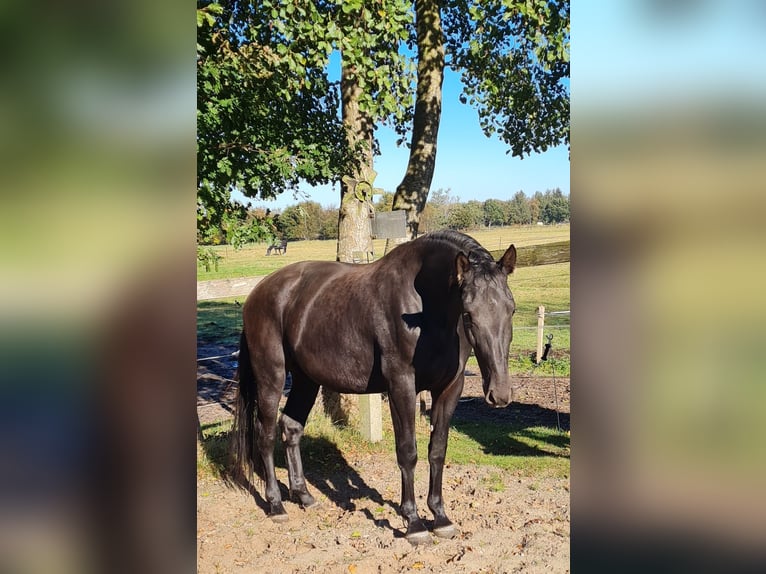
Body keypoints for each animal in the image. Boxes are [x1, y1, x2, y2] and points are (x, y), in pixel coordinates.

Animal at [231, 231, 520, 544]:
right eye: (468, 314)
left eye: (511, 309)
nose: (499, 393)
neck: (425, 311)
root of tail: (258, 292)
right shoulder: (401, 385)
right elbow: (408, 452)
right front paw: (414, 523)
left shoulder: (449, 388)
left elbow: (437, 451)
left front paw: (441, 517)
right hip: (270, 377)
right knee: (266, 435)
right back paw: (276, 505)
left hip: (307, 380)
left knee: (291, 427)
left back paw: (304, 496)